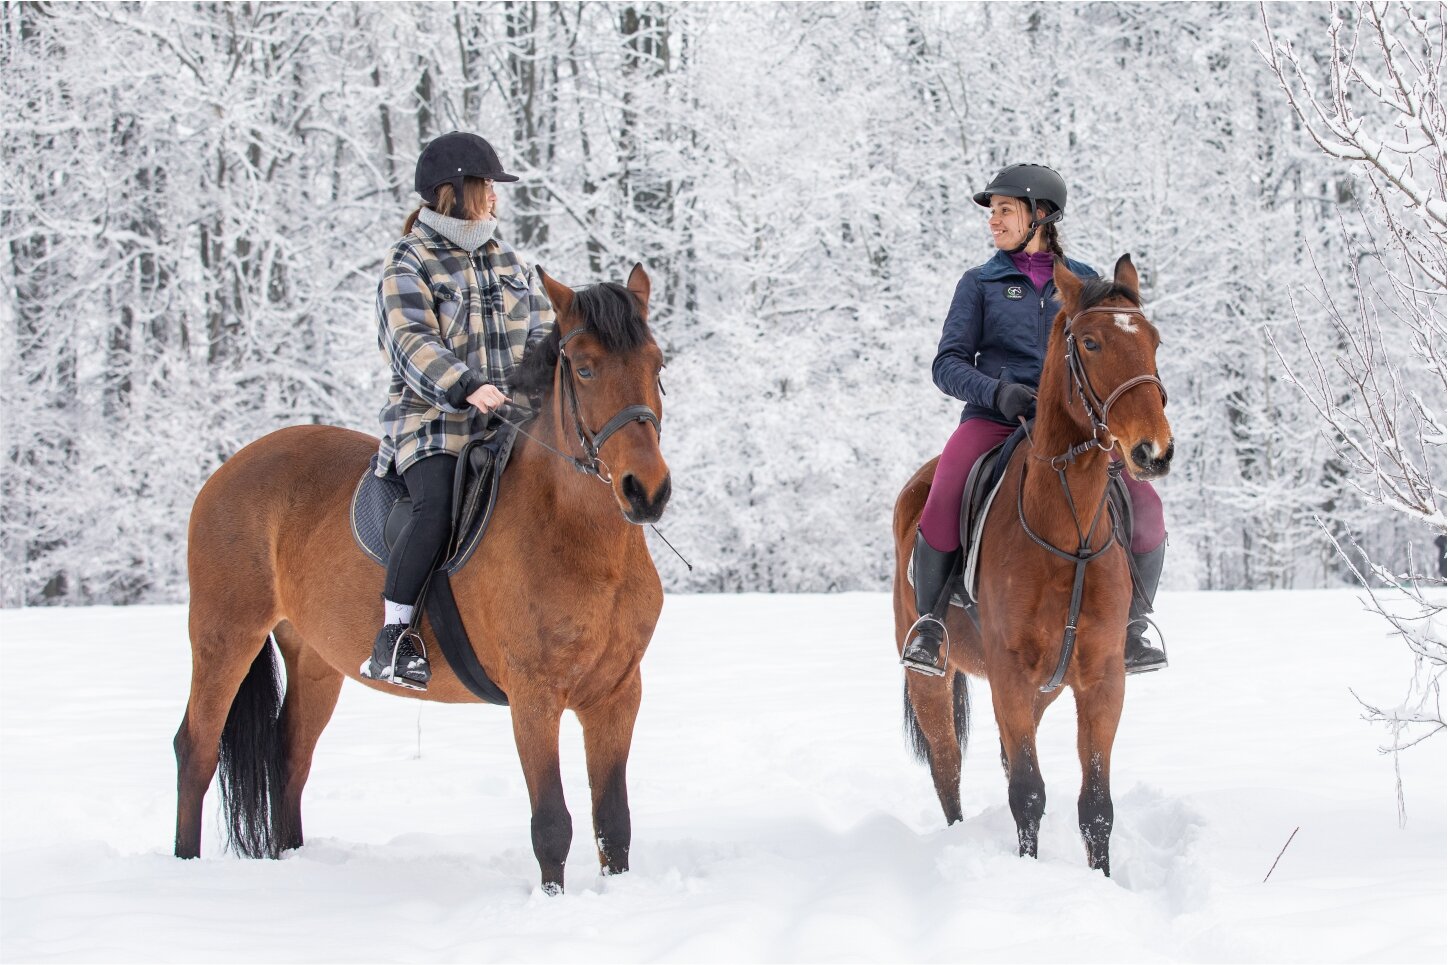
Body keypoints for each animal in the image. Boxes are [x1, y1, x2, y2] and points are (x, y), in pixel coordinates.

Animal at [173, 263, 666, 892]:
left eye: (657, 365)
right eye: (583, 367)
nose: (645, 491)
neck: (582, 542)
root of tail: (226, 470)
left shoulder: (616, 694)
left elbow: (614, 823)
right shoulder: (534, 697)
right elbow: (552, 824)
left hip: (313, 657)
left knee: (290, 756)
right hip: (225, 635)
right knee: (196, 749)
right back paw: (184, 868)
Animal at [886, 255, 1169, 869]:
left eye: (1154, 341)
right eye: (1089, 342)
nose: (1153, 452)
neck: (1068, 528)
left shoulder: (1102, 680)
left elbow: (1096, 805)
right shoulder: (1010, 677)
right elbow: (1028, 793)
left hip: (1047, 687)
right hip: (931, 677)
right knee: (948, 766)